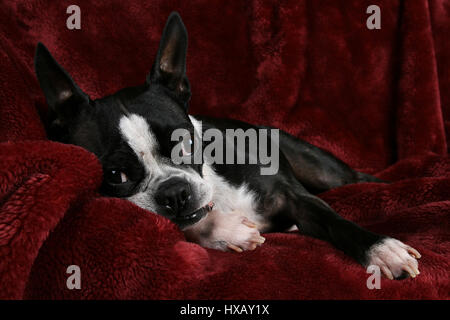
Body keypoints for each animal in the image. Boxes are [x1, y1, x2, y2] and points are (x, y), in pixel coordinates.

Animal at [36, 12, 422, 278]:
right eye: (116, 176)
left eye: (186, 144)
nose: (174, 193)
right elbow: (187, 226)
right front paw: (226, 229)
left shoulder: (295, 196)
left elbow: (335, 221)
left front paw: (382, 250)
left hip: (325, 171)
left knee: (360, 179)